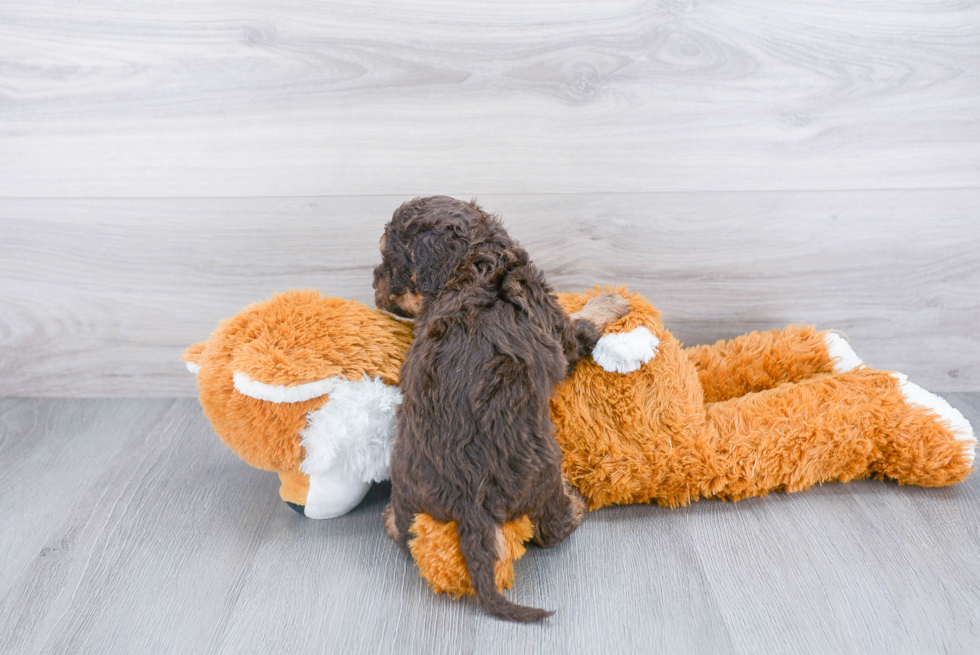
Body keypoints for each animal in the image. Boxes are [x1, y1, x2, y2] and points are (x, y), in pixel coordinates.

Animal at [372, 197, 624, 624]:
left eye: (389, 263)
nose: (373, 282)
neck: (477, 261)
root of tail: (467, 503)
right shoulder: (560, 333)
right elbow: (585, 322)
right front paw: (610, 300)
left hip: (407, 480)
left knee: (402, 529)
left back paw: (390, 518)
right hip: (543, 470)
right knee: (550, 527)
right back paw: (575, 505)